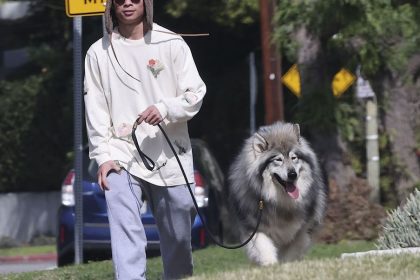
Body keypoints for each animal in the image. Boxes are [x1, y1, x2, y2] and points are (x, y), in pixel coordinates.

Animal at [226, 121, 328, 266]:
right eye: (278, 160)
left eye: (294, 157)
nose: (292, 174)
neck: (281, 202)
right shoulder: (254, 227)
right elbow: (263, 247)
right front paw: (270, 264)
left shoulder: (302, 230)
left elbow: (291, 252)